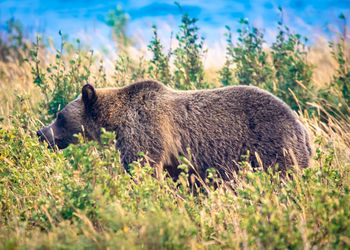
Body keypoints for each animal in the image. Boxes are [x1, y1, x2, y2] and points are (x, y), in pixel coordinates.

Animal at [37, 81, 312, 181]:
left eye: (59, 116)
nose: (41, 133)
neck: (116, 120)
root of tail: (303, 129)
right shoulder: (173, 155)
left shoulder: (146, 129)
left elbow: (142, 165)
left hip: (272, 145)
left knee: (282, 173)